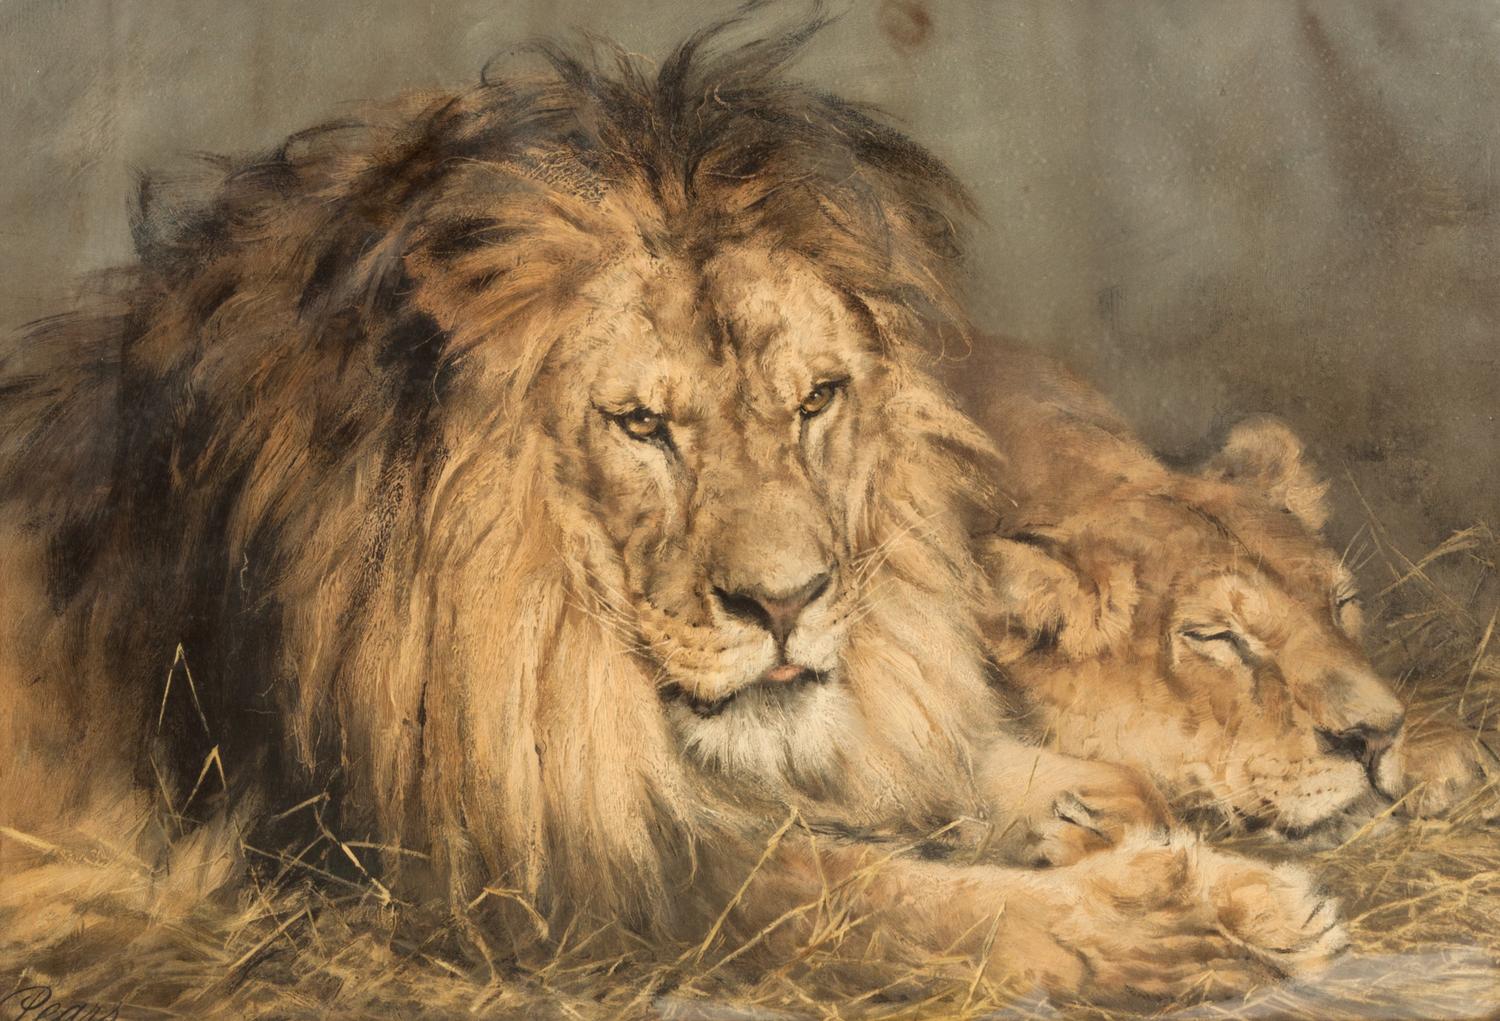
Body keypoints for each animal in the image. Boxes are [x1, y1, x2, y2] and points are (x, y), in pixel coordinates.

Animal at [0, 13, 1346, 1004]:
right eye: (642, 425)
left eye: (815, 399)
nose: (787, 604)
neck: (540, 624)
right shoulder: (483, 873)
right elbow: (845, 894)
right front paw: (1176, 917)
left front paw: (1106, 812)